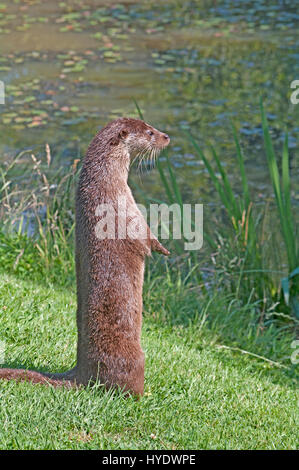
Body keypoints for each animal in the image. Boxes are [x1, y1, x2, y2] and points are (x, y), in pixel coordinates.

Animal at [0, 118, 170, 396]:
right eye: (150, 132)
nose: (166, 136)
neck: (104, 184)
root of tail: (82, 373)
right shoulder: (125, 209)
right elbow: (144, 240)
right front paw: (162, 249)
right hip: (134, 359)